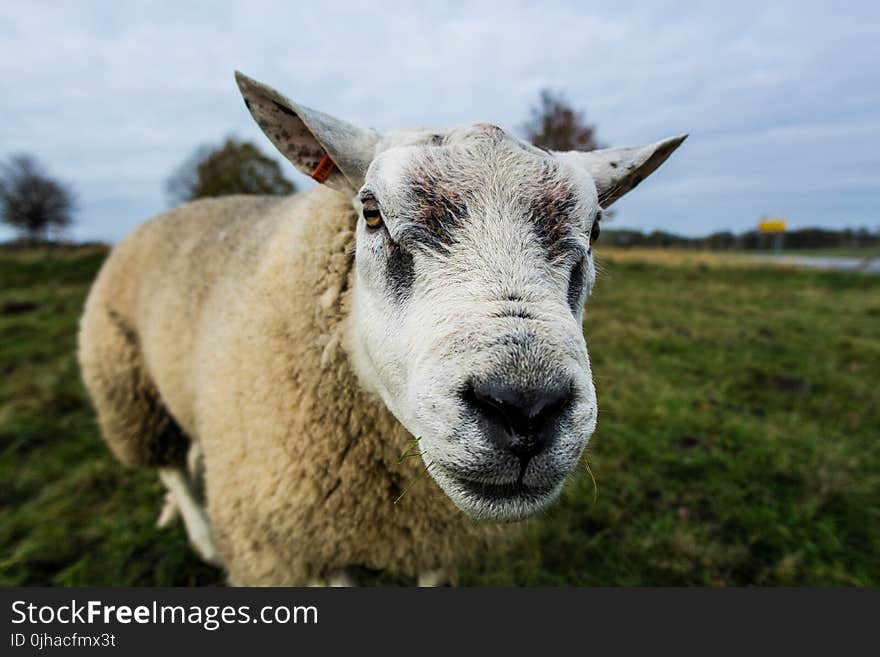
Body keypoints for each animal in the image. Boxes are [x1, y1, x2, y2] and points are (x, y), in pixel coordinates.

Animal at [77, 72, 688, 584]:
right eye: (370, 213)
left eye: (596, 230)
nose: (525, 408)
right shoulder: (306, 546)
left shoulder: (436, 540)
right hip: (127, 385)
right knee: (169, 465)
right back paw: (202, 535)